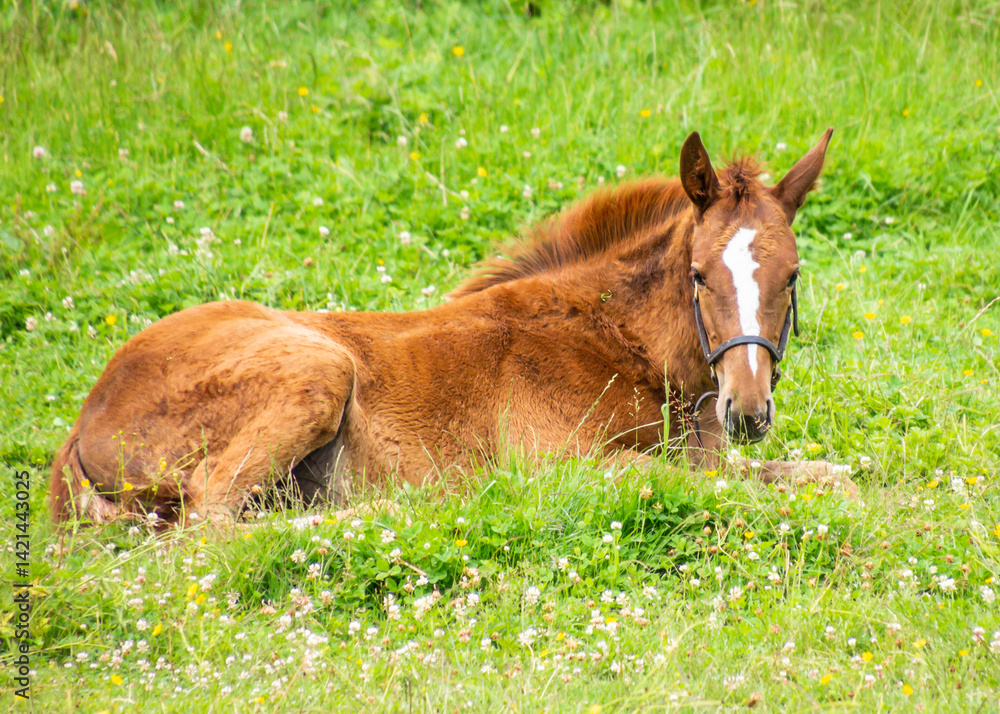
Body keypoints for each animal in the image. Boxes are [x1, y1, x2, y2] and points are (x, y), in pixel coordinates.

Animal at [49, 128, 856, 527]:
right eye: (698, 275)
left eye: (791, 277)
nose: (747, 410)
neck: (619, 344)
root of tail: (88, 412)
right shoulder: (568, 465)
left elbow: (831, 478)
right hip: (317, 371)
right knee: (210, 524)